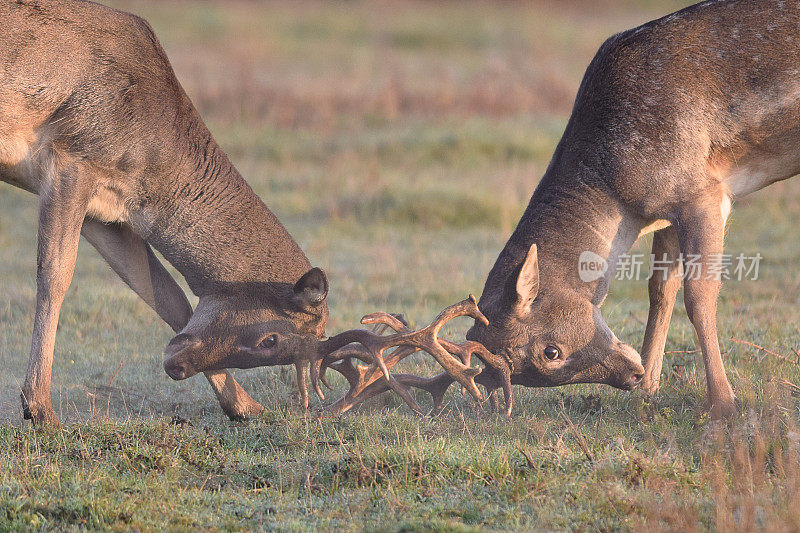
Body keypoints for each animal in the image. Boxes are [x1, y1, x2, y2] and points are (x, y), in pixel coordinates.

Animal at [0, 0, 332, 424]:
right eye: (270, 339)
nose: (176, 365)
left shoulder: (107, 213)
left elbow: (167, 296)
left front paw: (245, 405)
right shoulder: (71, 159)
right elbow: (54, 277)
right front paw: (39, 407)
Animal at [462, 0, 800, 418]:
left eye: (550, 352)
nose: (630, 377)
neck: (621, 197)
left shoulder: (702, 190)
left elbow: (699, 295)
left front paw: (723, 403)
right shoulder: (668, 207)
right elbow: (660, 287)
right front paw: (650, 391)